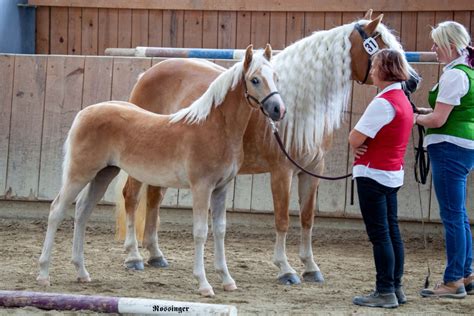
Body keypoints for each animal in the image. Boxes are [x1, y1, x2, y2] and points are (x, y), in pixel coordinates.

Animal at [37, 44, 286, 296]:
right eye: (255, 80)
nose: (278, 110)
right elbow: (200, 232)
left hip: (103, 174)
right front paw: (204, 284)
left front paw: (227, 280)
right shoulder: (201, 187)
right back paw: (44, 274)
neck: (215, 127)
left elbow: (220, 230)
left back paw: (82, 272)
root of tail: (85, 113)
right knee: (57, 210)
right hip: (80, 173)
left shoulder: (221, 189)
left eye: (276, 77)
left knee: (82, 211)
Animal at [117, 11, 418, 284]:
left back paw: (155, 254)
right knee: (132, 196)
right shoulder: (281, 171)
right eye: (381, 43)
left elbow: (307, 218)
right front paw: (285, 268)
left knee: (154, 198)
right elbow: (282, 219)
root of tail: (147, 74)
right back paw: (133, 256)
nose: (413, 81)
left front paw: (310, 267)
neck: (299, 105)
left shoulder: (311, 171)